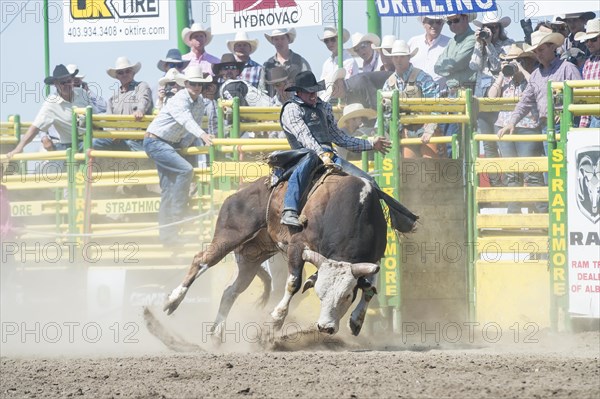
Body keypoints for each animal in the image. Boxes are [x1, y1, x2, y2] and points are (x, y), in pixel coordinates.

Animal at [164, 155, 418, 336]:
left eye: (347, 295)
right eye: (320, 293)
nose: (325, 327)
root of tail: (237, 194)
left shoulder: (374, 258)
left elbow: (370, 289)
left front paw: (356, 321)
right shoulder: (297, 247)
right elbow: (294, 283)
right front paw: (276, 320)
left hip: (252, 255)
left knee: (230, 291)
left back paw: (217, 333)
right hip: (229, 235)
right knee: (202, 260)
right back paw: (172, 301)